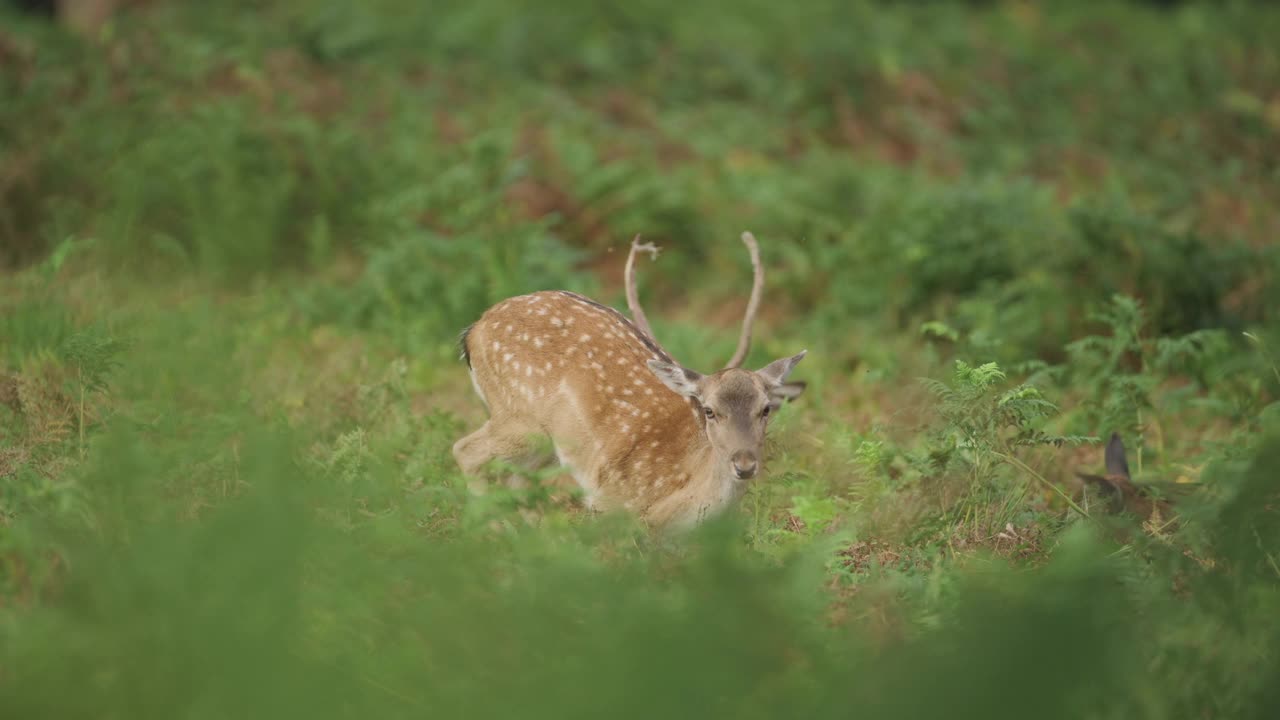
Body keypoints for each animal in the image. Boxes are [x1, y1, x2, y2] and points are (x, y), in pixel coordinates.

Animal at [455, 233, 803, 525]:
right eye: (709, 411)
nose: (744, 465)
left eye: (765, 409)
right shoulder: (610, 502)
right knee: (465, 450)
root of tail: (473, 331)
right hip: (521, 417)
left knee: (516, 477)